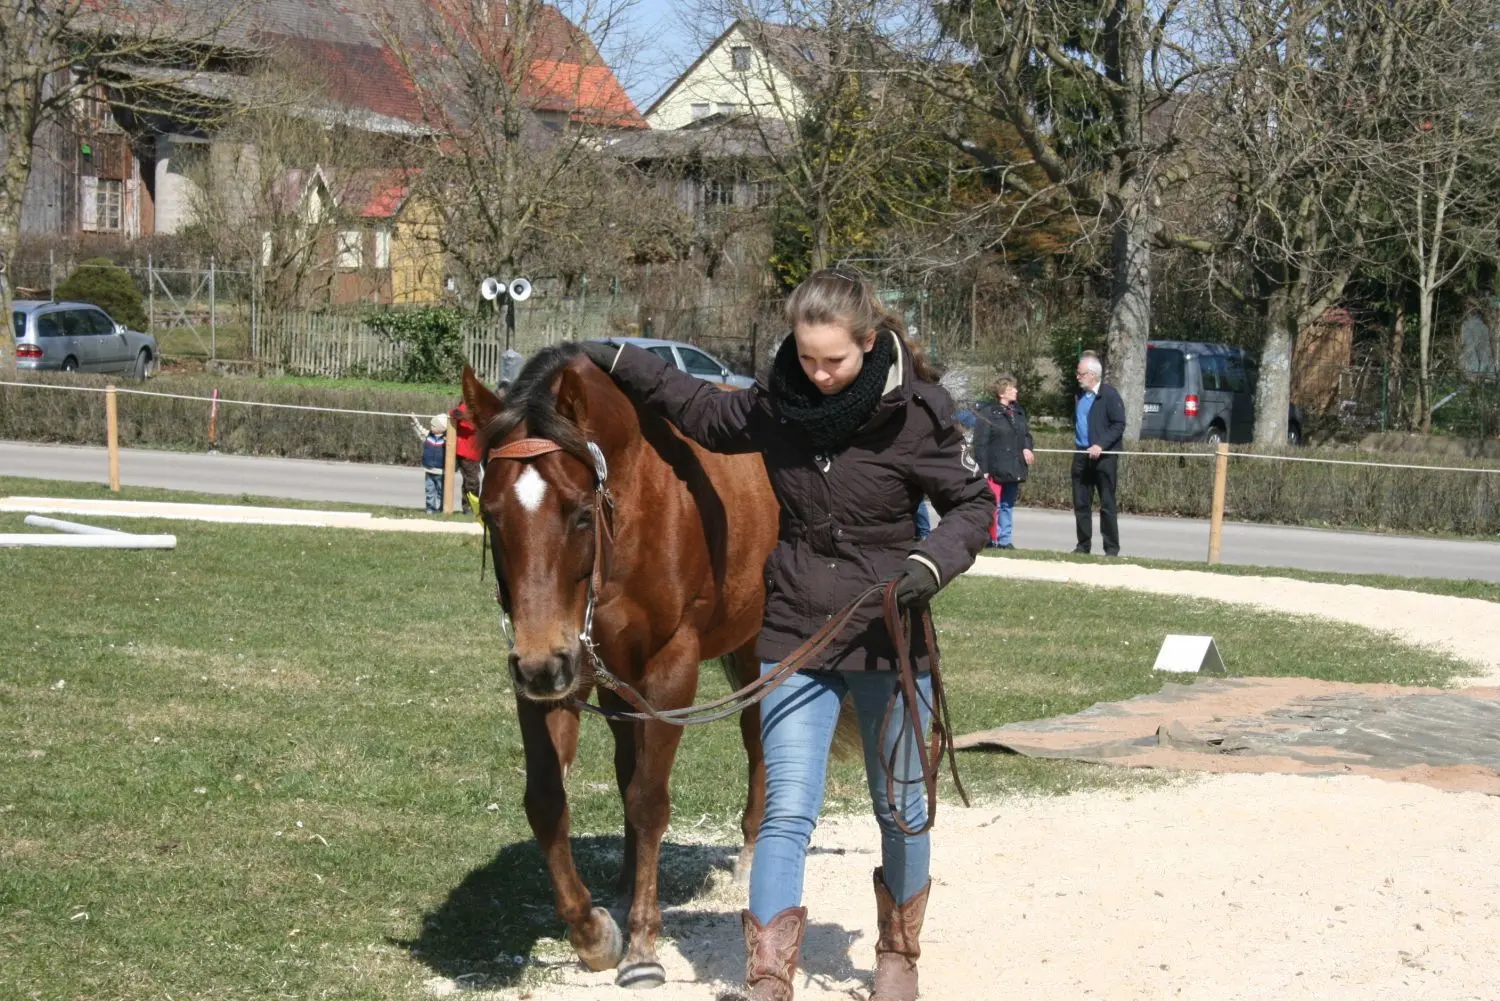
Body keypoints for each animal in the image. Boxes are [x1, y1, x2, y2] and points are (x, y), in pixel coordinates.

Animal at [461, 347, 780, 988]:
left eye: (582, 514)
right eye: (494, 517)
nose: (539, 662)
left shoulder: (671, 669)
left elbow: (649, 801)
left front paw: (640, 947)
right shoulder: (556, 672)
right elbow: (548, 801)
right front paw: (593, 933)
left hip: (758, 646)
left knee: (758, 737)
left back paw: (750, 854)